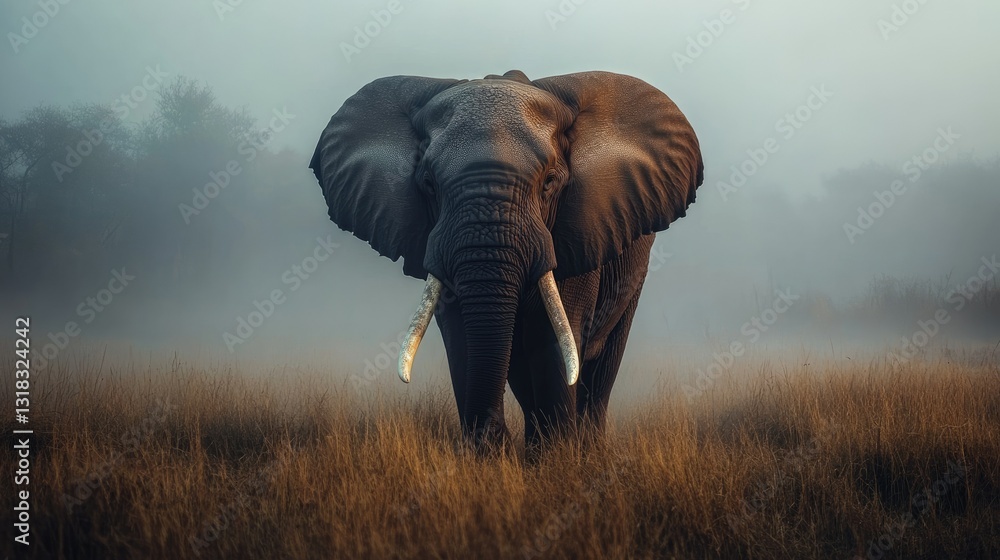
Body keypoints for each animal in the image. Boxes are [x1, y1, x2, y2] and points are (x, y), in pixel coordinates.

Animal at [310, 70, 703, 454]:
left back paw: (586, 449)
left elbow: (551, 337)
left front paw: (557, 460)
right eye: (428, 183)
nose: (492, 439)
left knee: (601, 367)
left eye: (550, 182)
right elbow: (462, 336)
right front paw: (490, 457)